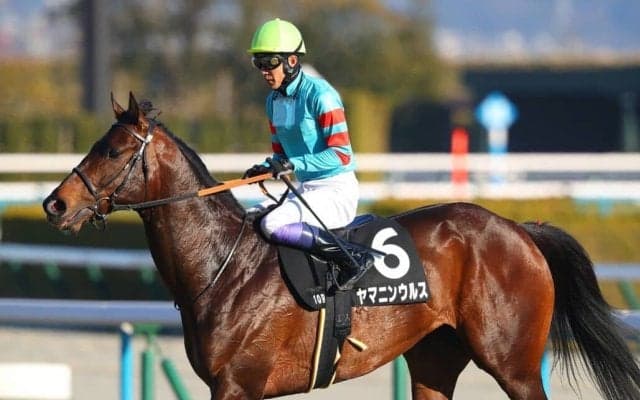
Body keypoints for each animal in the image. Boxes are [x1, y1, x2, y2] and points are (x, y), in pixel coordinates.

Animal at [43, 93, 640, 400]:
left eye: (113, 150)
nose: (55, 204)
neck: (221, 268)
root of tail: (517, 228)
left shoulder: (238, 386)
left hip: (513, 363)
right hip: (434, 359)